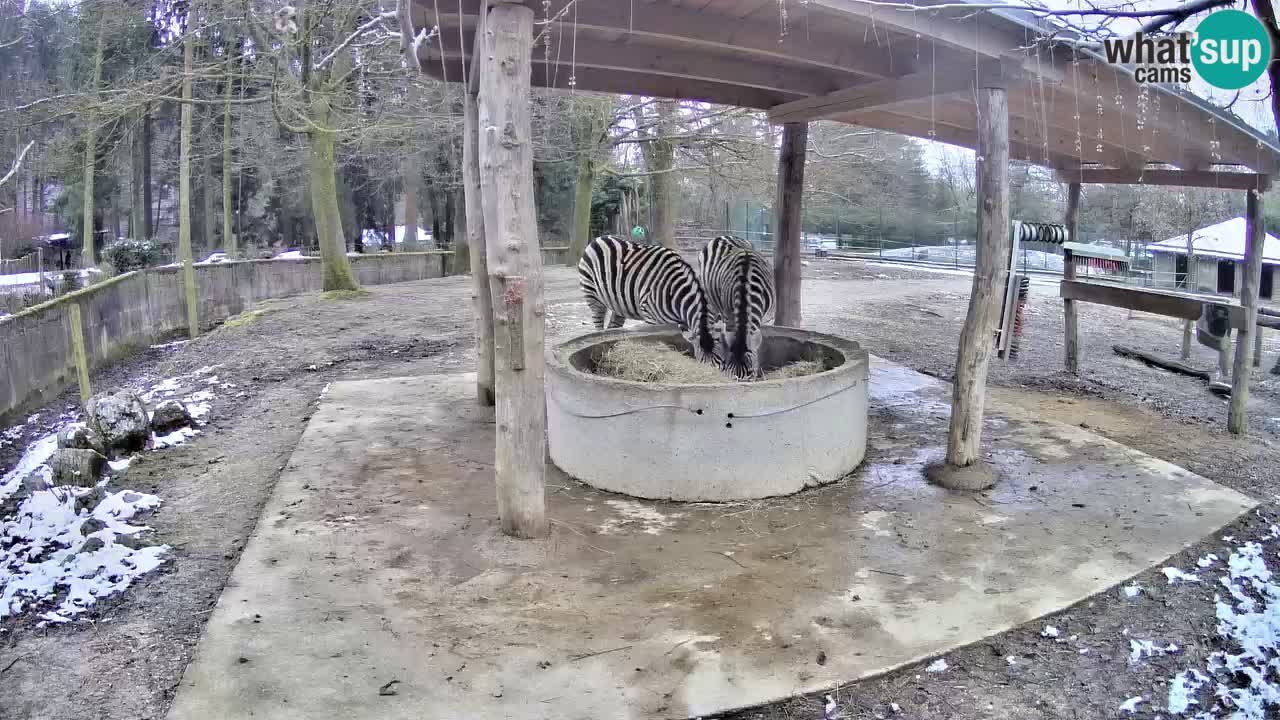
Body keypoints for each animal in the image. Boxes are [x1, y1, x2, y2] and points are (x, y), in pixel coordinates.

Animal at [578, 235, 727, 363]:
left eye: (721, 362)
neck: (675, 294)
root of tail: (599, 238)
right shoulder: (651, 318)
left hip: (619, 304)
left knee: (613, 328)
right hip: (593, 297)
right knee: (599, 326)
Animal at [696, 237, 773, 381]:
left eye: (749, 378)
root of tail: (723, 237)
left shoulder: (765, 318)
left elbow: (756, 342)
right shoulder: (729, 315)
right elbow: (730, 337)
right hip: (710, 298)